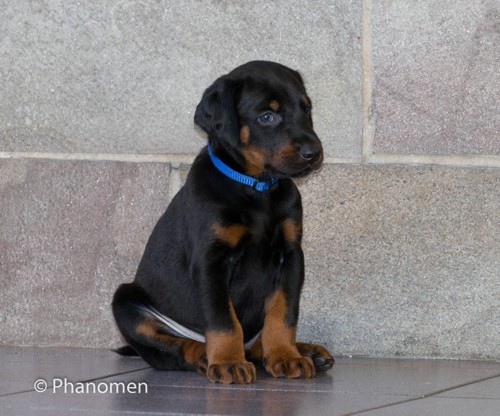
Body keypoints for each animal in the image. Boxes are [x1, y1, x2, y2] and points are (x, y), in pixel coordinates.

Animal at [112, 61, 334, 384]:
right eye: (267, 116)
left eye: (306, 109)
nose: (314, 153)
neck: (256, 188)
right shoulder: (211, 260)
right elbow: (223, 319)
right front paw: (228, 361)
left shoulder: (291, 255)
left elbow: (283, 313)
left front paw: (285, 355)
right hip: (125, 302)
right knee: (173, 350)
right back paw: (206, 355)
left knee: (254, 342)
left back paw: (304, 351)